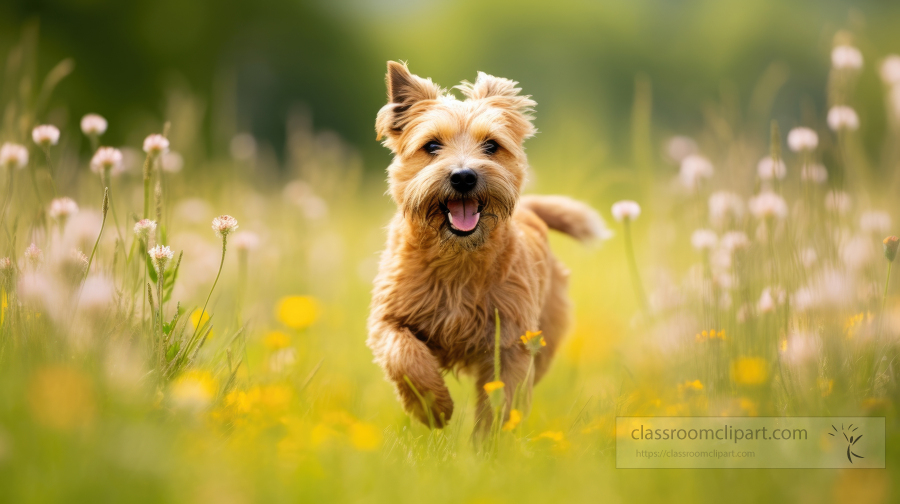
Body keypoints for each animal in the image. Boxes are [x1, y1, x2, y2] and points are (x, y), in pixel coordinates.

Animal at [368, 61, 612, 428]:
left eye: (492, 145)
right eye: (432, 146)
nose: (463, 176)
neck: (457, 260)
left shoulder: (511, 344)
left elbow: (501, 403)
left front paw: (490, 441)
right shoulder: (388, 319)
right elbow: (405, 356)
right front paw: (434, 408)